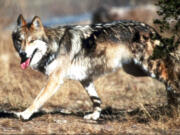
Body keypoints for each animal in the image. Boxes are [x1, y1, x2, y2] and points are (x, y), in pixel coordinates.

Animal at [11, 14, 179, 120]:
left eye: (31, 41)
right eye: (20, 40)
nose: (23, 54)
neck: (54, 45)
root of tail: (150, 28)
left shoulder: (54, 80)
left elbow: (38, 99)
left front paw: (24, 114)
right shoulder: (85, 79)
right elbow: (96, 100)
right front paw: (95, 116)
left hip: (149, 67)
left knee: (171, 77)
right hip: (135, 70)